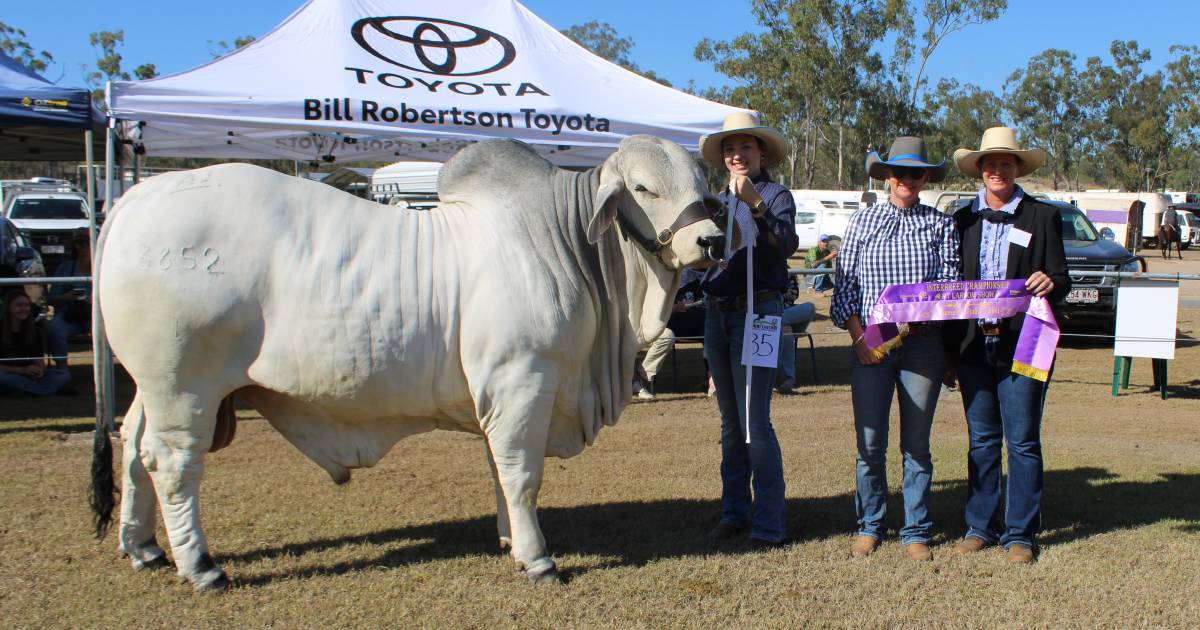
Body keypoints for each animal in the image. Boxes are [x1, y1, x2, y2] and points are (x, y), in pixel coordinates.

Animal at [88, 135, 724, 588]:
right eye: (642, 187)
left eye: (701, 182)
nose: (712, 241)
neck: (564, 244)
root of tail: (135, 199)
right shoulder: (522, 381)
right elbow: (521, 473)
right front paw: (539, 559)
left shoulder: (498, 395)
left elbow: (498, 468)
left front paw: (509, 544)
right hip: (184, 383)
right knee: (173, 463)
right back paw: (201, 568)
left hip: (152, 386)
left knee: (135, 448)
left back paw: (144, 548)